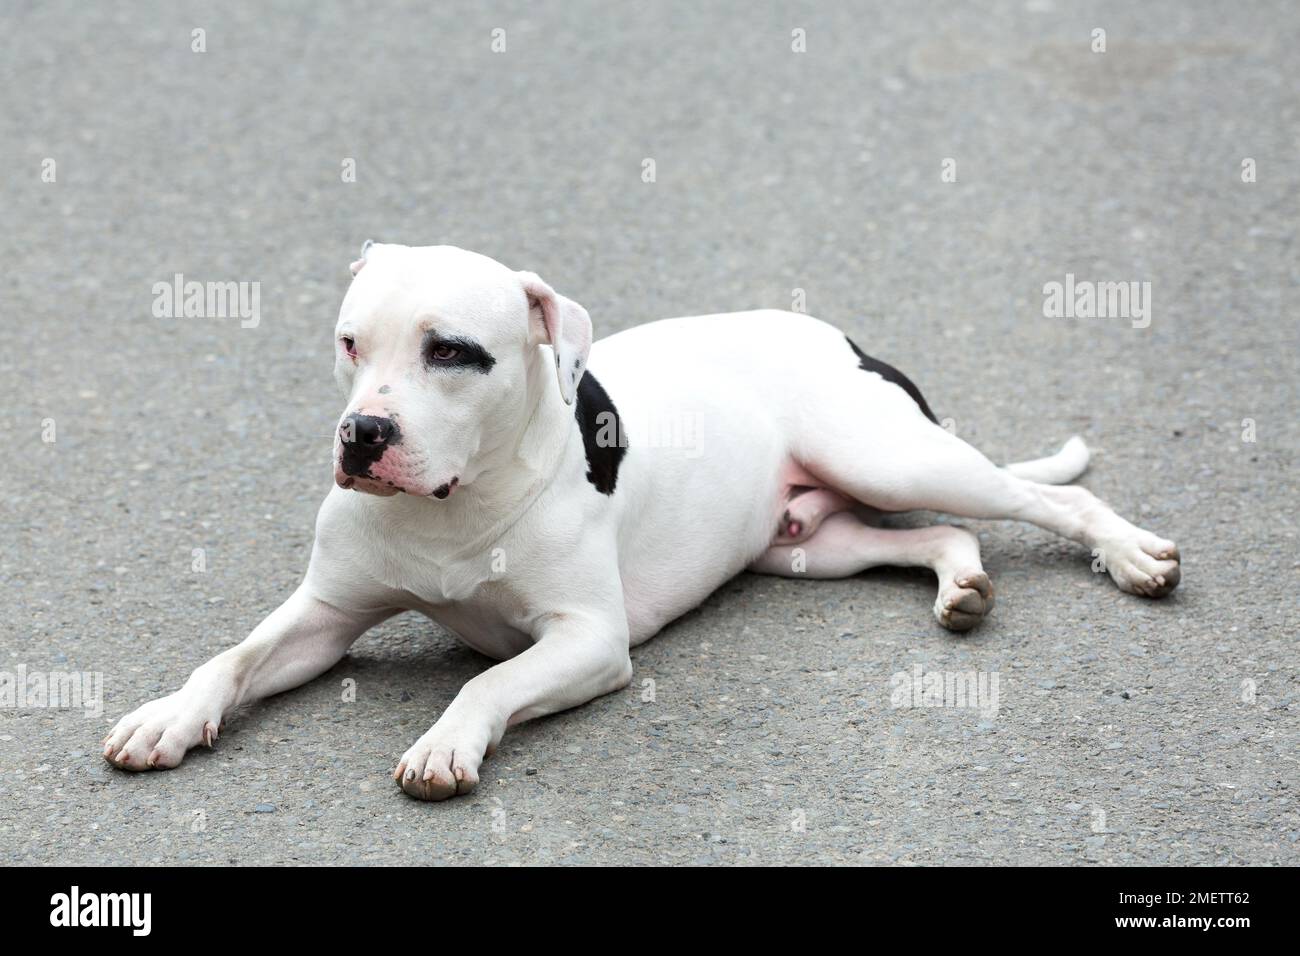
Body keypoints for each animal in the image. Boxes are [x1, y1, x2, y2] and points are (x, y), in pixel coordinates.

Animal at [104, 240, 1180, 801]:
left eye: (451, 351)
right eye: (350, 342)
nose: (362, 432)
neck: (455, 508)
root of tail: (840, 333)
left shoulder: (588, 641)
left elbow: (490, 678)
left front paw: (449, 740)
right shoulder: (323, 615)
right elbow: (231, 657)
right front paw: (168, 715)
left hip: (896, 455)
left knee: (1052, 498)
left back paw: (1131, 554)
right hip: (814, 545)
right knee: (937, 535)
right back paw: (959, 584)